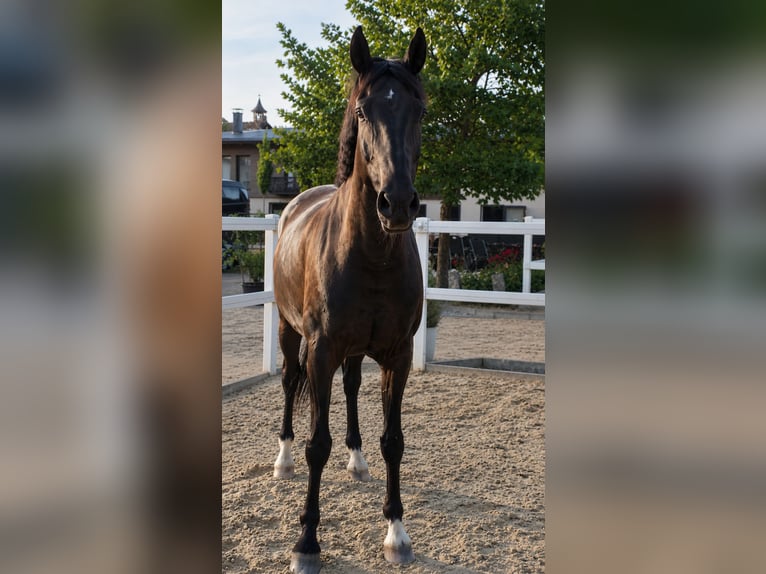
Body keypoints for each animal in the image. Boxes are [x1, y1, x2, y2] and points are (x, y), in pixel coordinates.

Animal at [271, 25, 427, 573]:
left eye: (419, 110)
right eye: (363, 111)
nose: (397, 203)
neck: (372, 254)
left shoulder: (398, 355)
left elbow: (394, 441)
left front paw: (396, 533)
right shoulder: (320, 350)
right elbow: (318, 443)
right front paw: (306, 543)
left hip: (358, 351)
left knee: (354, 387)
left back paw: (357, 460)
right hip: (288, 331)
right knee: (289, 382)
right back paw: (282, 459)